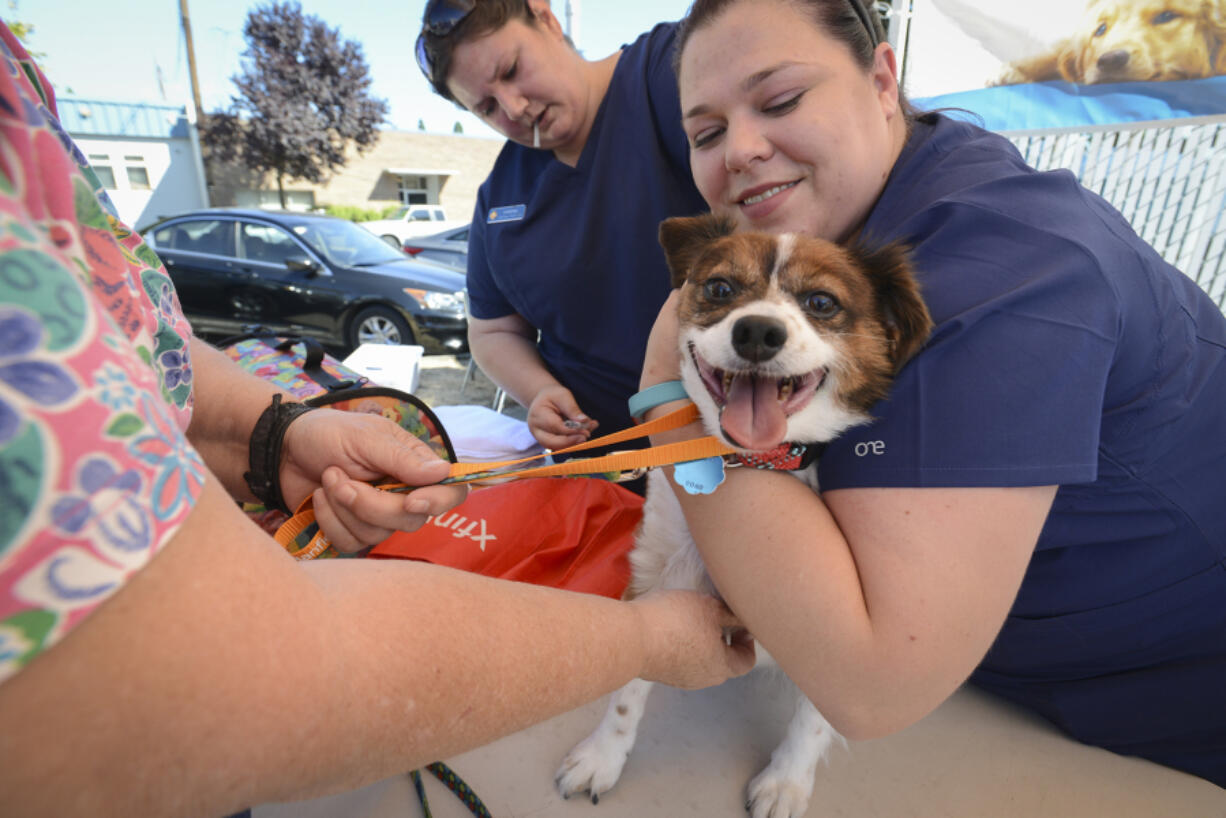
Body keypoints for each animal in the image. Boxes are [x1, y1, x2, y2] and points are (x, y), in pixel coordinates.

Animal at [554, 215, 926, 818]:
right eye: (721, 288)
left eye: (822, 302)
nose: (757, 332)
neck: (753, 460)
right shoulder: (658, 572)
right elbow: (630, 685)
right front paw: (602, 755)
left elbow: (818, 714)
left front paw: (787, 781)